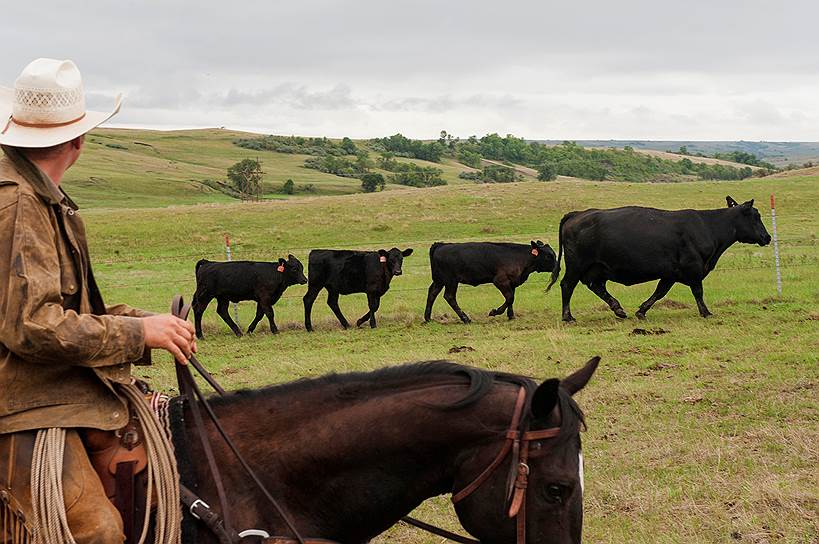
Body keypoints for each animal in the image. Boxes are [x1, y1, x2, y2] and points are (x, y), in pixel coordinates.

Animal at [422, 241, 556, 324]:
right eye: (548, 256)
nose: (557, 267)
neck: (520, 257)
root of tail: (441, 245)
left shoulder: (512, 282)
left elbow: (511, 298)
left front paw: (511, 316)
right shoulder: (500, 281)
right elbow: (510, 298)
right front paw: (494, 312)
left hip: (439, 280)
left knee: (432, 293)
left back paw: (428, 318)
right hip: (451, 280)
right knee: (449, 297)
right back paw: (466, 319)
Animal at [548, 197, 772, 320]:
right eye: (756, 217)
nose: (767, 237)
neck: (708, 226)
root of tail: (578, 213)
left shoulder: (670, 273)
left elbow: (660, 292)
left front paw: (641, 311)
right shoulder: (692, 268)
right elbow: (698, 292)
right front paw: (706, 312)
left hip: (598, 268)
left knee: (597, 286)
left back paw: (618, 309)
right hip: (577, 265)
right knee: (567, 285)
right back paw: (568, 316)